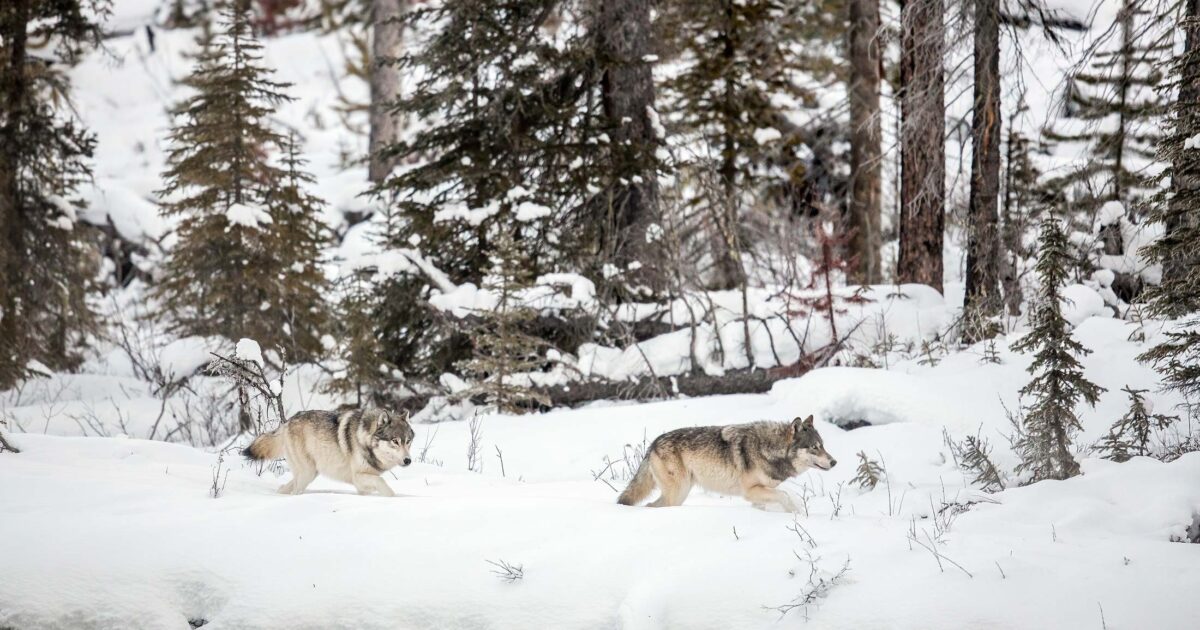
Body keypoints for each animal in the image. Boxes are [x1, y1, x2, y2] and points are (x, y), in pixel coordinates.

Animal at [243, 408, 415, 497]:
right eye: (395, 441)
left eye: (408, 441)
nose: (408, 461)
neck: (365, 439)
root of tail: (288, 422)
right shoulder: (358, 477)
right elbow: (382, 482)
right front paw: (392, 498)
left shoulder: (362, 485)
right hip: (307, 473)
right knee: (296, 490)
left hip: (310, 473)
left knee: (288, 486)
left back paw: (280, 491)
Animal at [616, 415, 836, 511]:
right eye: (814, 447)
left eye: (823, 445)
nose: (834, 462)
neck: (769, 448)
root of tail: (653, 443)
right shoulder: (751, 491)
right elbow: (785, 495)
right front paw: (797, 513)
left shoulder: (759, 494)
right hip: (678, 493)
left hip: (680, 492)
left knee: (651, 505)